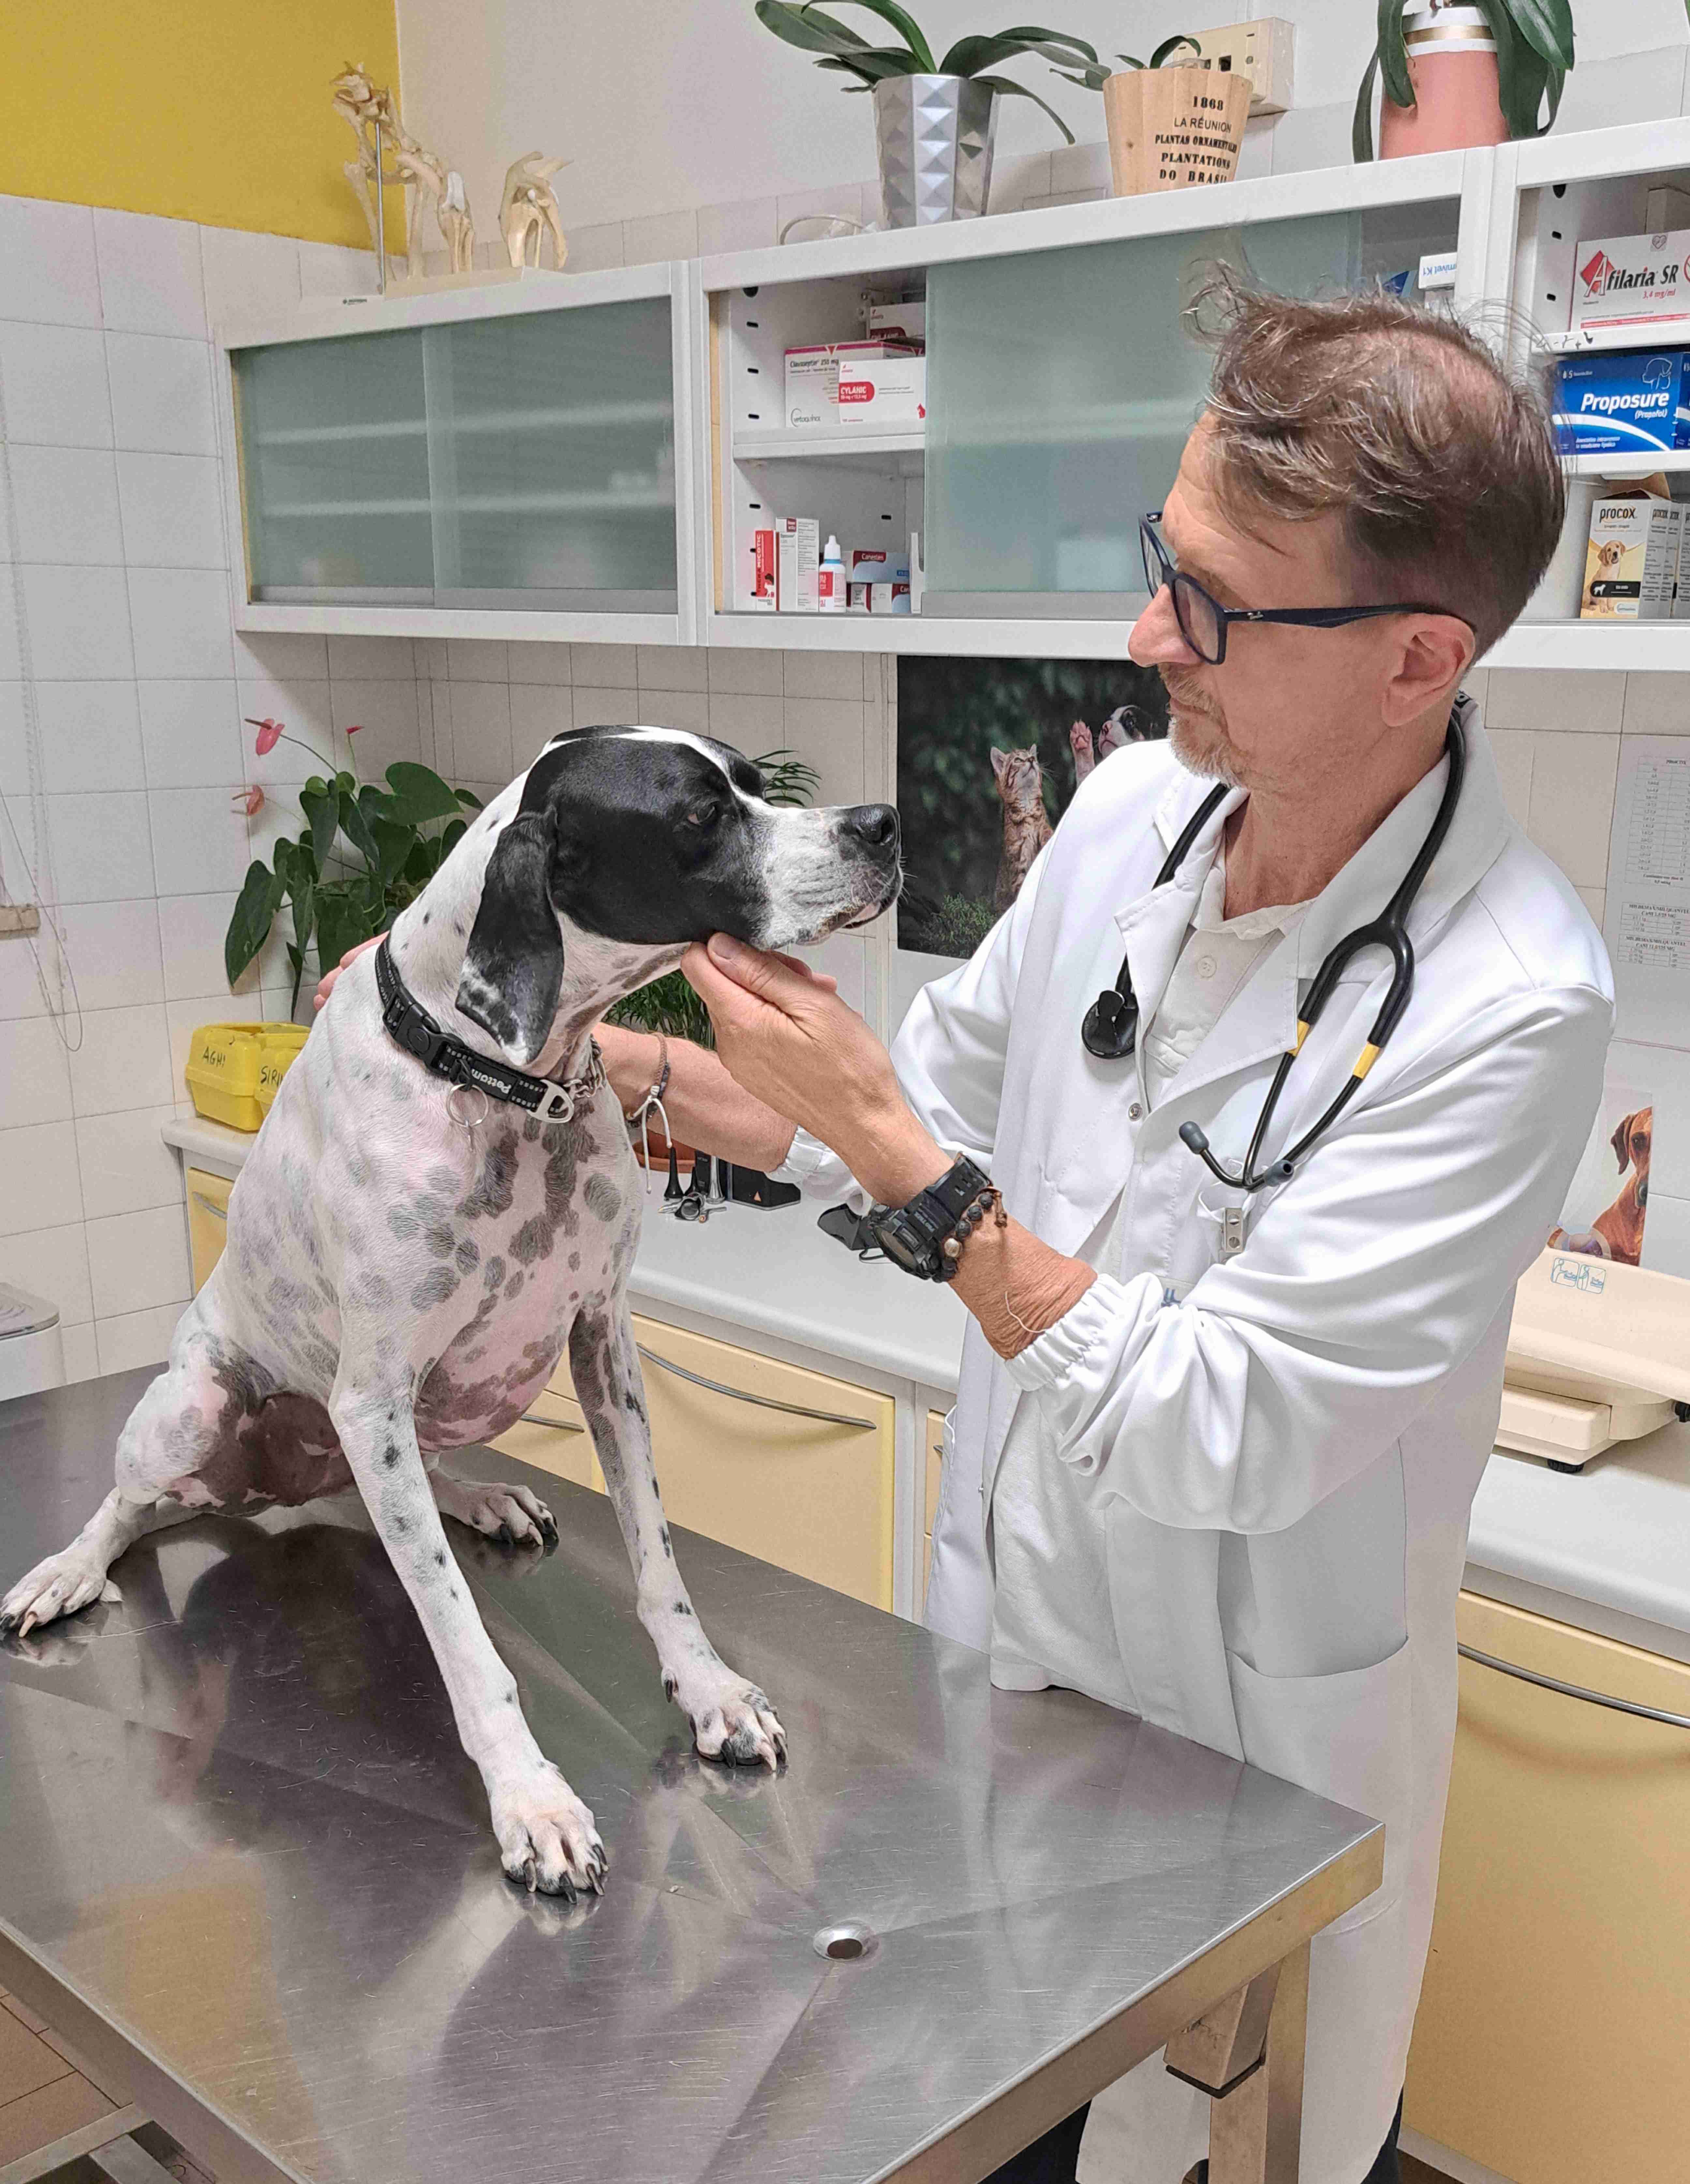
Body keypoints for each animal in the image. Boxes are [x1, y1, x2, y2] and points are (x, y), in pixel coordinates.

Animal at [2, 726, 901, 1897]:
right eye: (702, 813)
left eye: (753, 779)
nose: (882, 823)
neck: (504, 1082)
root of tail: (275, 1476)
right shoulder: (373, 1396)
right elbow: (462, 1637)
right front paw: (530, 1798)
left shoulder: (604, 1347)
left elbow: (659, 1560)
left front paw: (707, 1692)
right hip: (200, 1409)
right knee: (130, 1500)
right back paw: (66, 1569)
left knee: (409, 1478)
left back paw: (482, 1499)